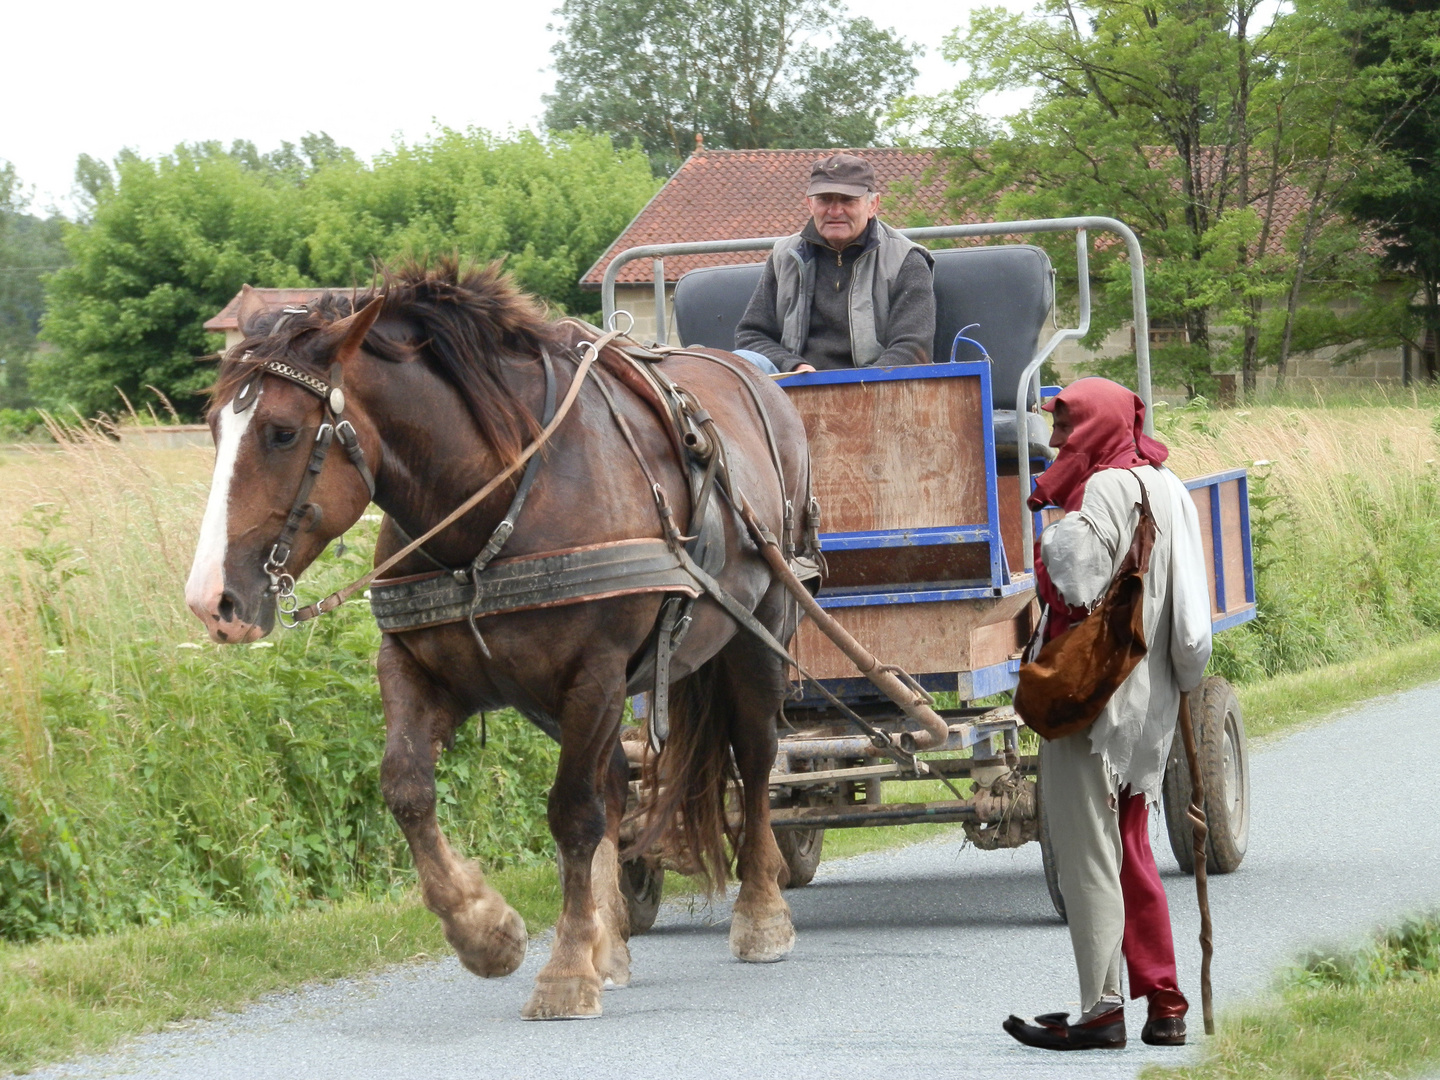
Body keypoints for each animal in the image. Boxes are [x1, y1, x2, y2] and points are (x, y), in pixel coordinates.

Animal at [182, 262, 812, 1025]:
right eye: (215, 428)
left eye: (280, 433)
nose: (212, 601)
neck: (495, 502)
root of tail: (756, 381)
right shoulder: (419, 668)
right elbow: (407, 787)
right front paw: (486, 930)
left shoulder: (595, 673)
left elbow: (571, 814)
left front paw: (565, 970)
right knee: (617, 784)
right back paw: (611, 943)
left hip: (756, 637)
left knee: (756, 761)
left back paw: (761, 913)